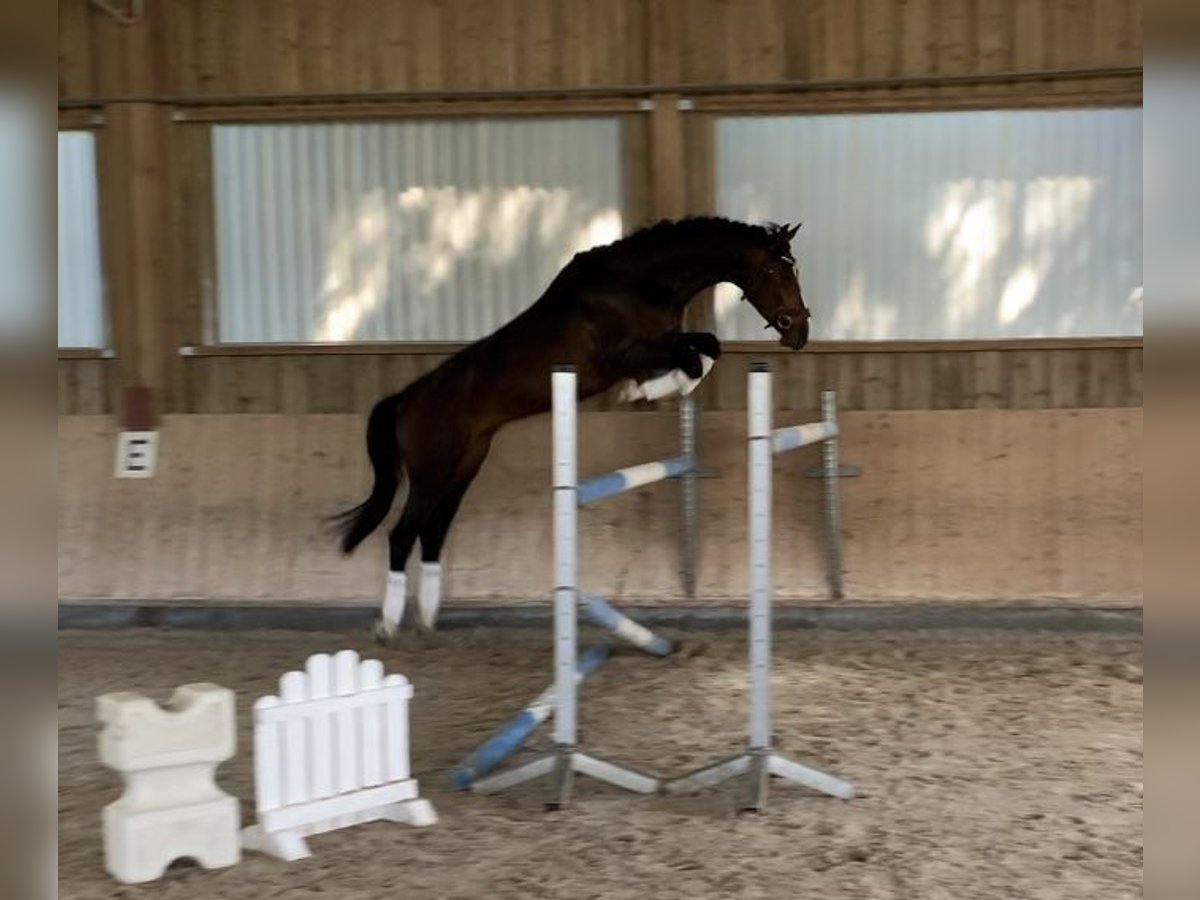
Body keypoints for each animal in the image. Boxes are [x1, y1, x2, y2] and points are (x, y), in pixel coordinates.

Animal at [333, 217, 811, 643]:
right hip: (432, 471)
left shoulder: (666, 340)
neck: (639, 283)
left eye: (794, 268)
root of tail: (405, 401)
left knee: (431, 531)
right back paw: (388, 623)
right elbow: (693, 358)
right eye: (776, 270)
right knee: (402, 534)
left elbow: (707, 347)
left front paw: (651, 389)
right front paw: (639, 392)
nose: (800, 331)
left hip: (465, 465)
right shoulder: (624, 355)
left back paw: (429, 616)